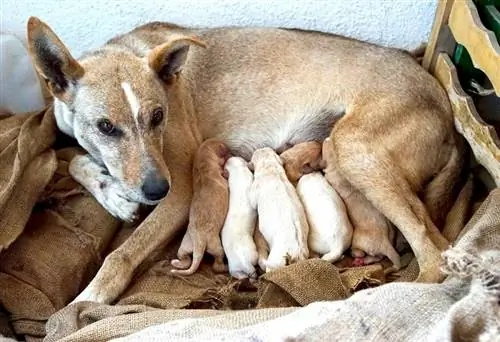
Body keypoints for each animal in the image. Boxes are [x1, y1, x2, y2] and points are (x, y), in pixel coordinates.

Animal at [170, 139, 229, 276]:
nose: (230, 151)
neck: (203, 168)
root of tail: (199, 242)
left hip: (185, 245)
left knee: (185, 259)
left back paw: (175, 263)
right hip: (216, 246)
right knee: (217, 264)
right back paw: (225, 267)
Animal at [320, 138, 402, 270]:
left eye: (324, 146)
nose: (326, 138)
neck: (338, 168)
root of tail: (385, 242)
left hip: (358, 242)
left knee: (361, 253)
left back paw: (358, 259)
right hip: (388, 237)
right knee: (378, 257)